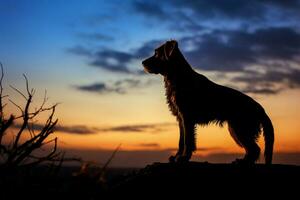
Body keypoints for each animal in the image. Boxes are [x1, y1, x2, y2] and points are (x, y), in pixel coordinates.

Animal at [142, 40, 274, 164]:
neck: (179, 77)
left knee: (254, 149)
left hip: (240, 128)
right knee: (251, 149)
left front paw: (184, 158)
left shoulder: (187, 117)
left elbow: (187, 140)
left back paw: (243, 162)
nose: (142, 62)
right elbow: (181, 140)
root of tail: (260, 108)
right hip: (236, 129)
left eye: (156, 53)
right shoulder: (180, 118)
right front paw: (177, 157)